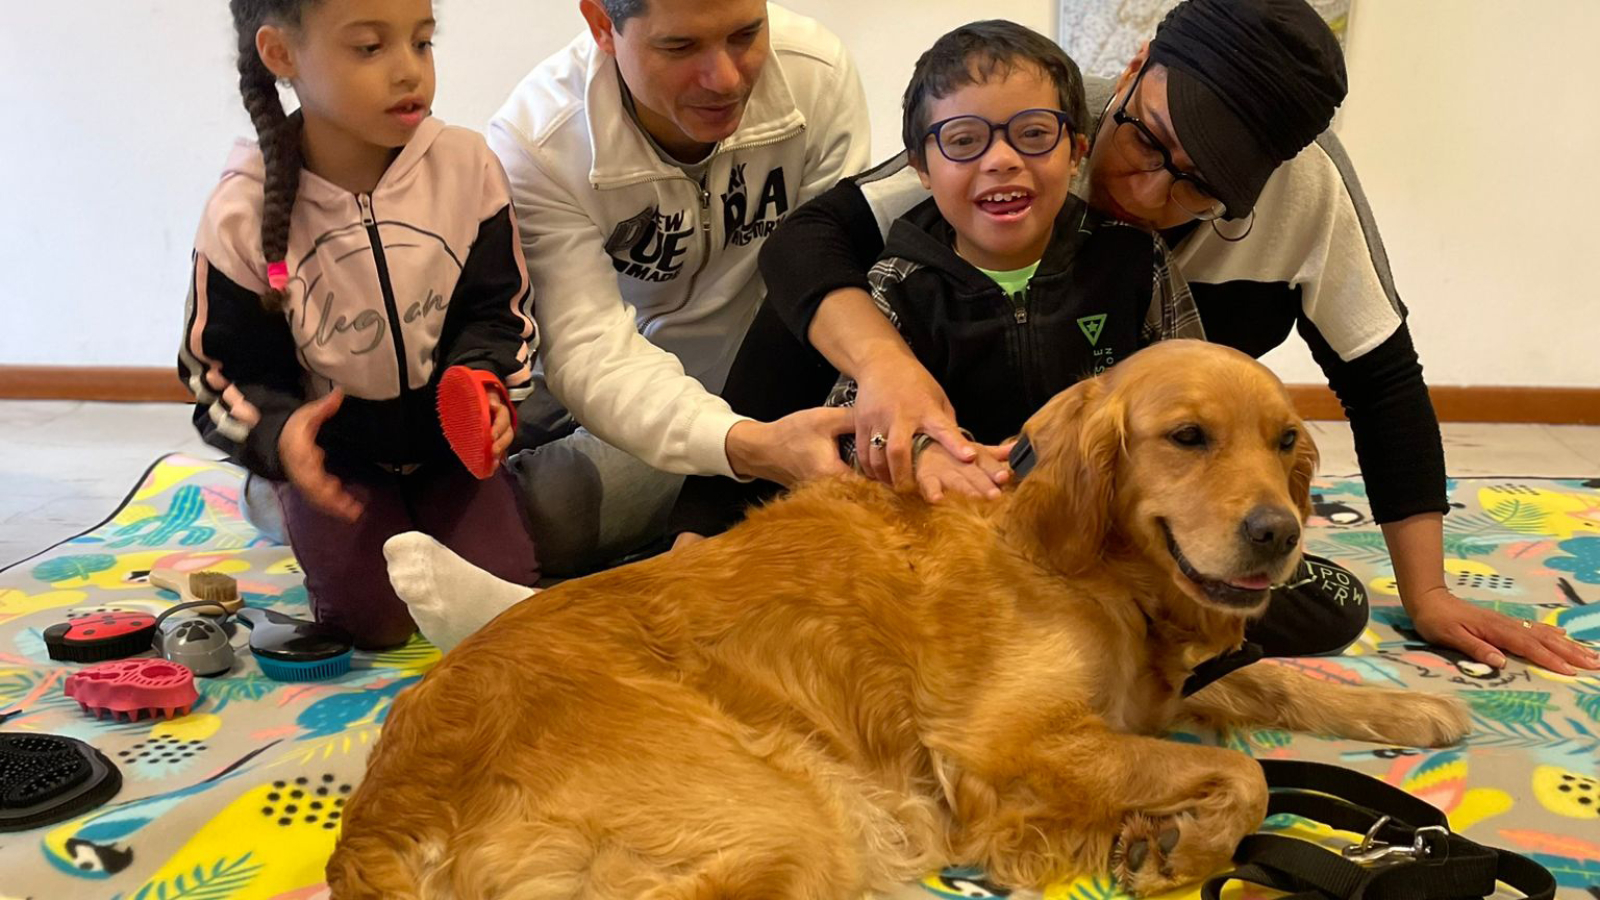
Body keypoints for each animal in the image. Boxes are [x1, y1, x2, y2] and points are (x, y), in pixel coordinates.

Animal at [331, 339, 1465, 890]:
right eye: (1187, 437)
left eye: (1286, 442)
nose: (1279, 534)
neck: (1076, 557)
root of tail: (384, 808)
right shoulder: (1005, 740)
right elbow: (1247, 777)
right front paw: (1180, 849)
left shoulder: (1148, 695)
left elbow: (1271, 683)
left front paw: (1414, 710)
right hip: (791, 822)